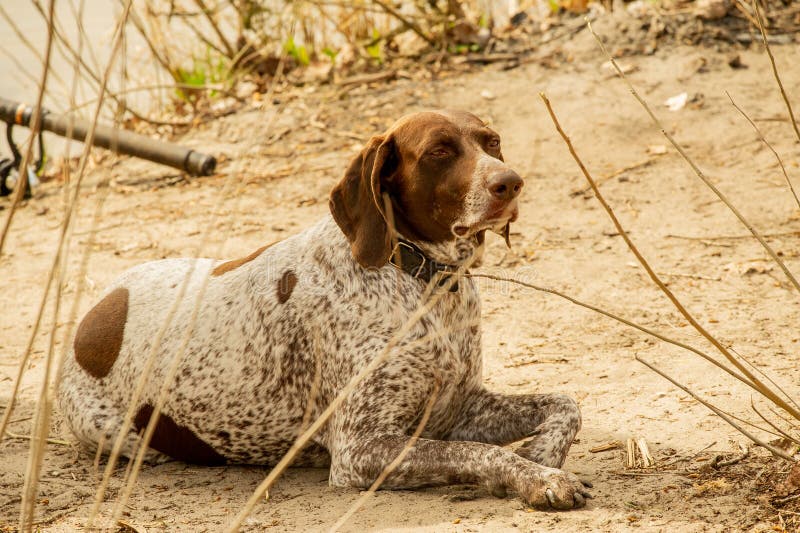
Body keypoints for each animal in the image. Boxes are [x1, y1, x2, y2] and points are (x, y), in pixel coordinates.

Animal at [59, 107, 588, 508]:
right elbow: (482, 455)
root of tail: (90, 318)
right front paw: (538, 476)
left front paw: (541, 454)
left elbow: (566, 403)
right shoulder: (362, 448)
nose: (511, 183)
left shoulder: (458, 409)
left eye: (492, 142)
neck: (421, 280)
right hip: (119, 436)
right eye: (439, 150)